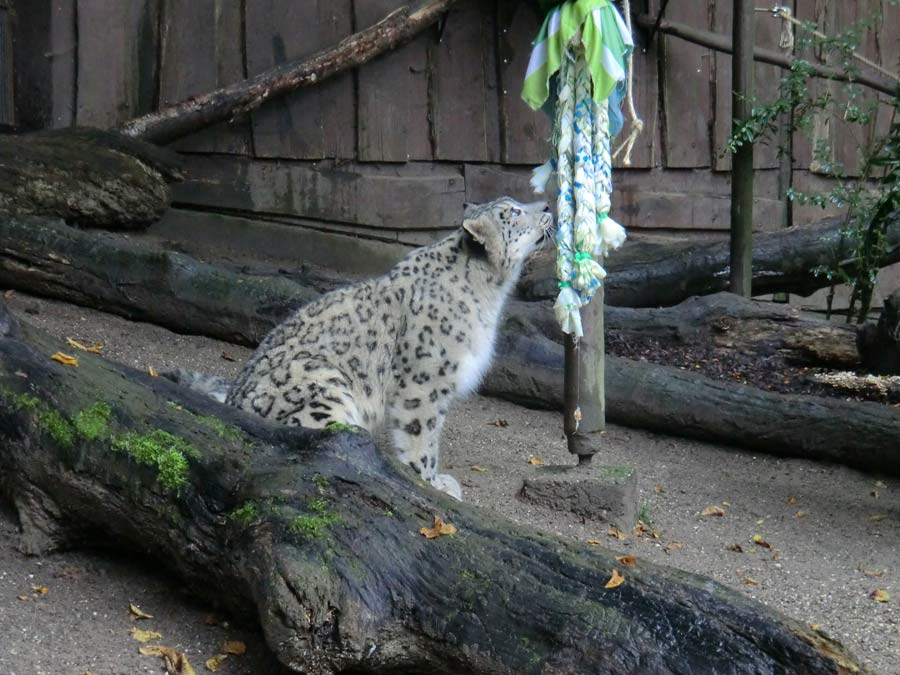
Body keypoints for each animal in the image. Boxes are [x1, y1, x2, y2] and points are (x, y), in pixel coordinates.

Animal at [166, 198, 552, 500]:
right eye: (514, 211)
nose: (548, 207)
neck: (491, 296)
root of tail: (233, 403)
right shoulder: (424, 383)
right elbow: (422, 438)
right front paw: (430, 482)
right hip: (325, 387)